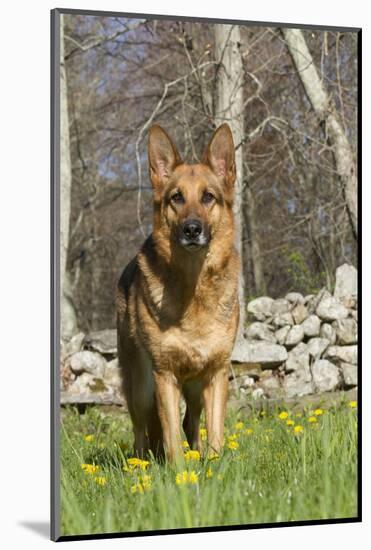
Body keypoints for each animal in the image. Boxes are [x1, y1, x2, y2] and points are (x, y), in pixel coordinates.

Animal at [117, 124, 241, 462]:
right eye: (177, 198)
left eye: (208, 197)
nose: (192, 229)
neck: (193, 286)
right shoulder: (164, 376)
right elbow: (170, 435)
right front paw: (176, 470)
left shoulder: (216, 373)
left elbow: (214, 431)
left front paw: (214, 465)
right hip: (141, 387)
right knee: (142, 429)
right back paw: (141, 463)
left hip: (195, 387)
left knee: (189, 422)